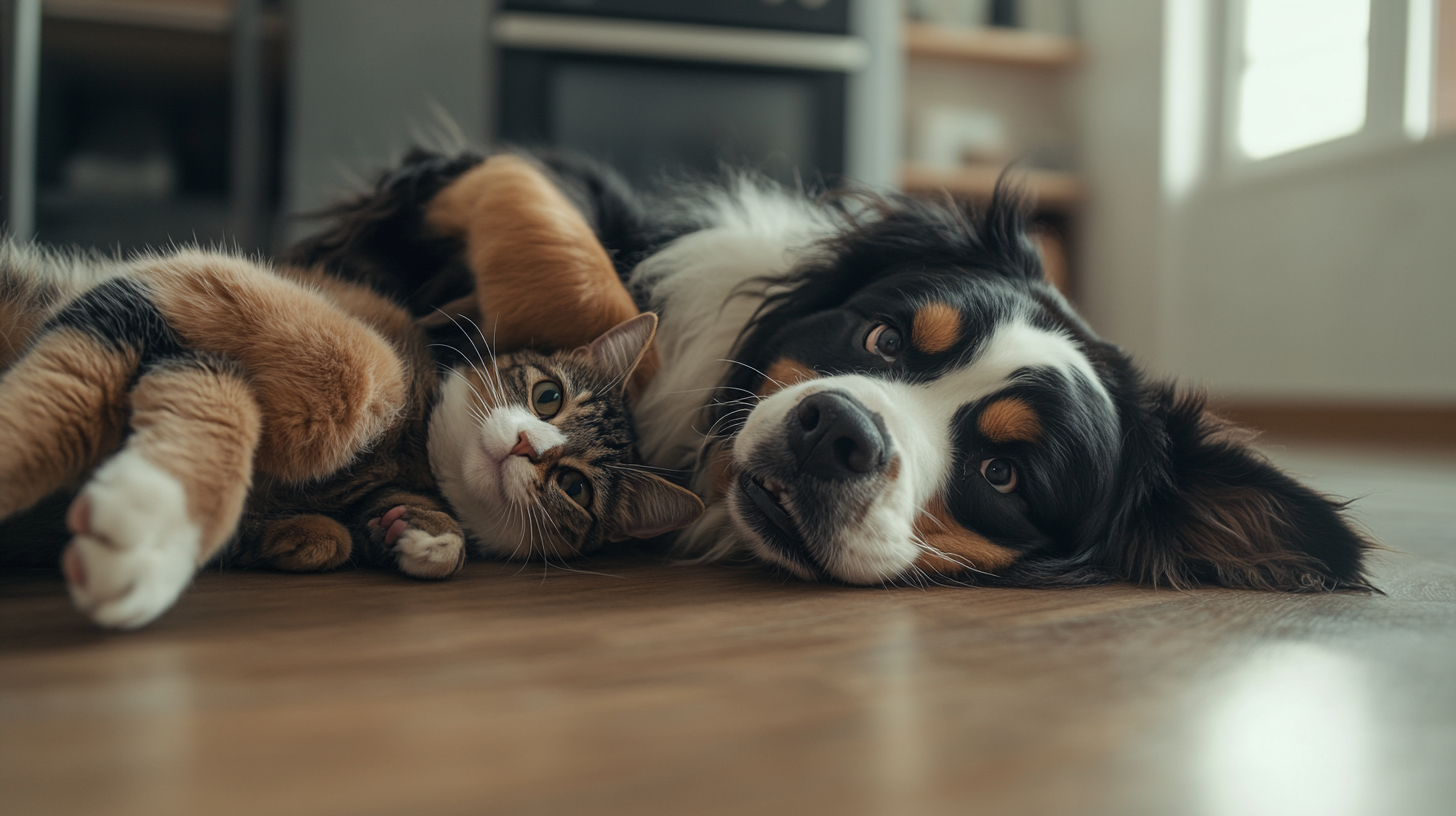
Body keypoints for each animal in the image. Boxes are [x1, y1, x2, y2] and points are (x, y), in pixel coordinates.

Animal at [0, 158, 704, 632]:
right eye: (549, 397)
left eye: (575, 487)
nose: (529, 445)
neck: (410, 454)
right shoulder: (201, 276)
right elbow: (362, 371)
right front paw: (148, 527)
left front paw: (415, 535)